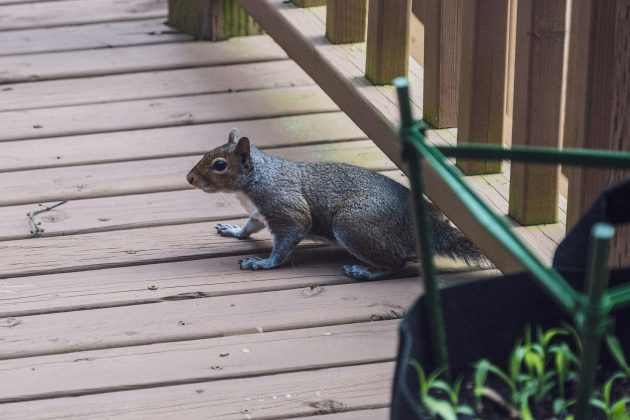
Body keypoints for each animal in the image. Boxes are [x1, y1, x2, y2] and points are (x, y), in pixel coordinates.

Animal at [188, 127, 488, 278]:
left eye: (219, 165)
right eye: (208, 153)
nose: (189, 178)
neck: (255, 181)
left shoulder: (286, 209)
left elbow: (287, 240)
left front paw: (263, 263)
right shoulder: (259, 214)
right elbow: (249, 227)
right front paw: (234, 231)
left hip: (352, 225)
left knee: (397, 263)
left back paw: (365, 271)